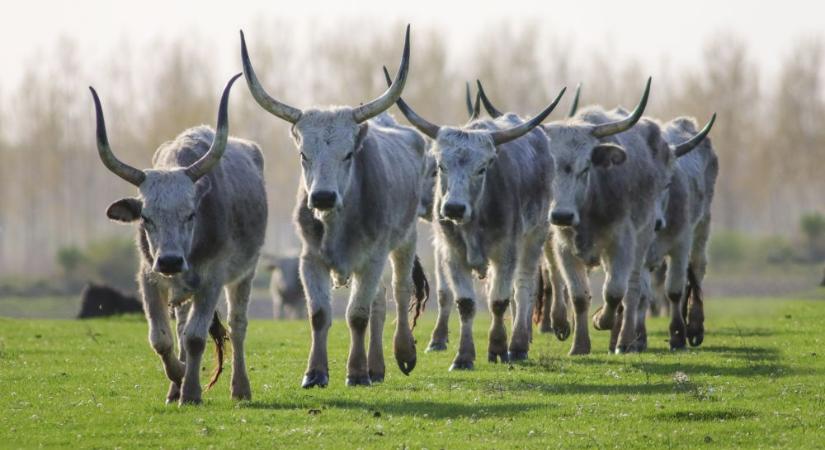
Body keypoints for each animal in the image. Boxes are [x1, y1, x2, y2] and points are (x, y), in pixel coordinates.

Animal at [89, 74, 268, 404]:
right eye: (146, 217)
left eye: (190, 214)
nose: (171, 260)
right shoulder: (149, 277)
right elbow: (161, 338)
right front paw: (178, 377)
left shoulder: (212, 279)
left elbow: (196, 338)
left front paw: (192, 392)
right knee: (182, 328)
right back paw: (176, 387)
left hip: (244, 275)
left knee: (237, 326)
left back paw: (240, 387)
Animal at [241, 26, 428, 388]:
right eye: (304, 154)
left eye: (348, 154)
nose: (323, 197)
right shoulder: (309, 259)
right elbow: (319, 314)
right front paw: (315, 372)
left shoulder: (372, 258)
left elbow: (356, 315)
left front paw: (355, 373)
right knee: (380, 302)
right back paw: (376, 367)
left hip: (405, 240)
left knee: (399, 292)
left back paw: (403, 354)